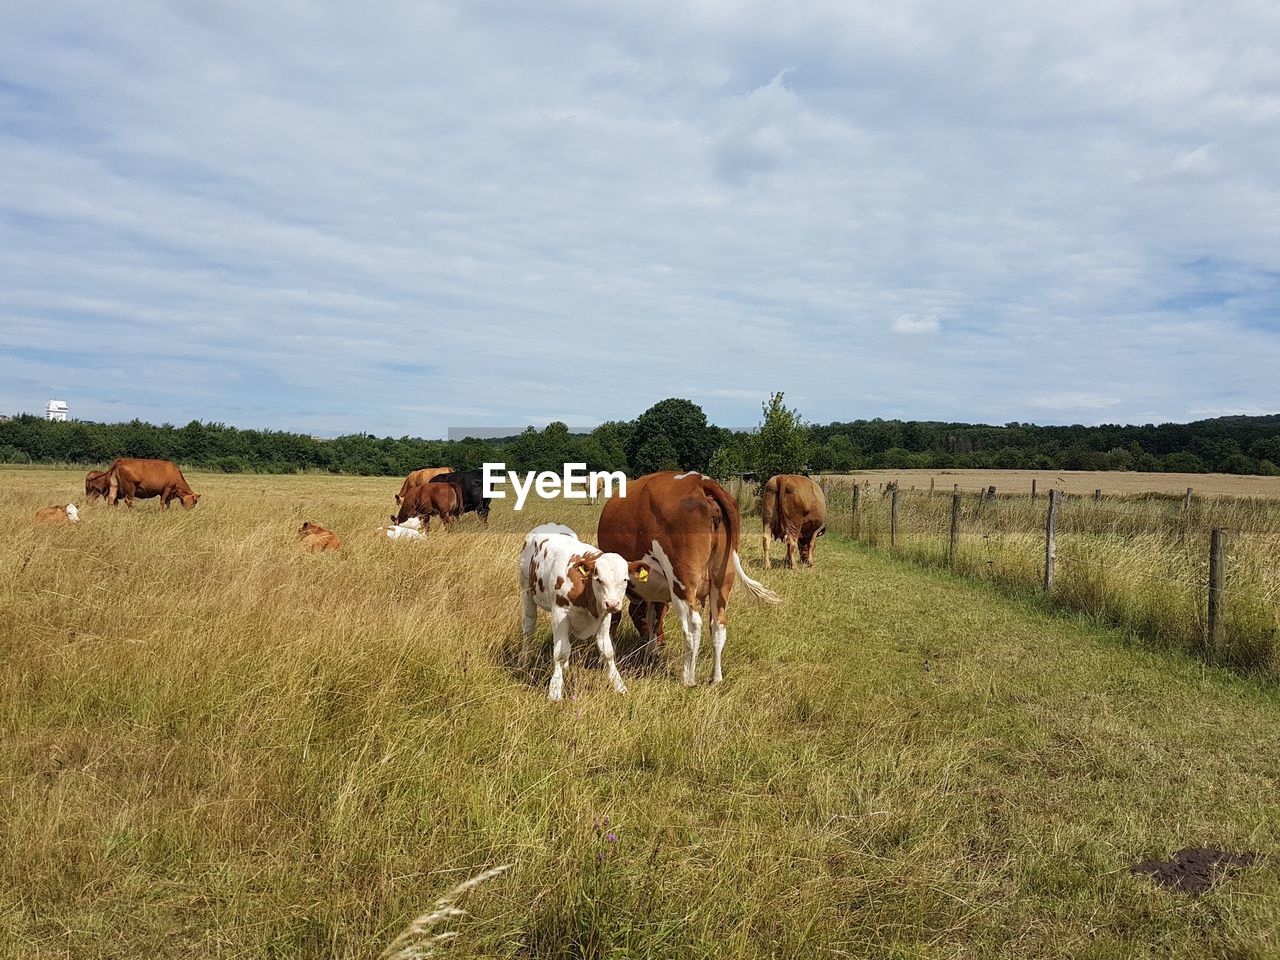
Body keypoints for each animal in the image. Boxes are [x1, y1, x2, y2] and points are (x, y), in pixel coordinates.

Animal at [517, 527, 645, 701]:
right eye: (598, 579)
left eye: (625, 579)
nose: (612, 603)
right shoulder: (560, 613)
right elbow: (561, 652)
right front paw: (555, 690)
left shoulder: (604, 617)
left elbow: (607, 652)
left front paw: (619, 686)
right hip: (526, 590)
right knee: (529, 627)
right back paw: (524, 661)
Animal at [596, 471, 778, 686]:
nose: (663, 642)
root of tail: (700, 481)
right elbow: (653, 616)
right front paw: (651, 650)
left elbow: (618, 618)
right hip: (722, 581)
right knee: (718, 625)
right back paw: (716, 678)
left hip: (682, 582)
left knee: (693, 626)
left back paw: (688, 678)